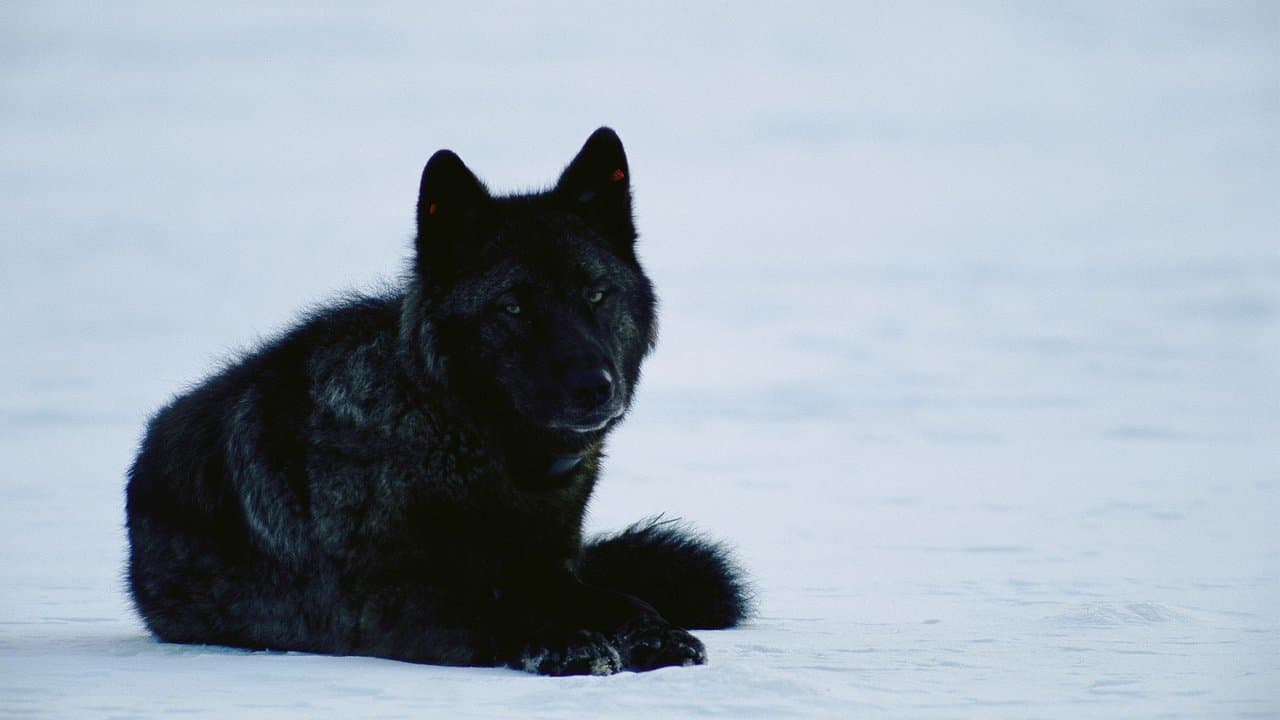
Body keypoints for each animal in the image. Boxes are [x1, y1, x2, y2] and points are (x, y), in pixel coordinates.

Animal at [125, 128, 750, 675]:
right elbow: (496, 609)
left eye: (595, 294)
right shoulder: (385, 603)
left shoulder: (552, 571)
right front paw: (566, 642)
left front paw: (656, 634)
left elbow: (620, 599)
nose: (596, 387)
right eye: (514, 307)